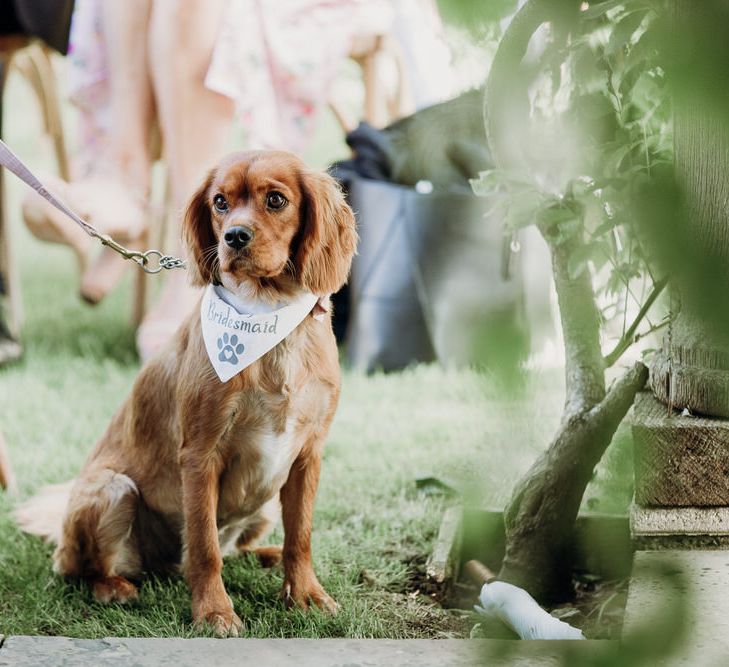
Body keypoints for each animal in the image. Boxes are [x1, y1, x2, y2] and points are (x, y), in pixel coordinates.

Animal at [15, 151, 356, 636]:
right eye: (220, 202)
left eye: (276, 199)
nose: (234, 236)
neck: (268, 315)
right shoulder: (200, 454)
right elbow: (205, 546)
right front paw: (214, 611)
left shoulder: (307, 455)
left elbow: (301, 535)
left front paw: (304, 593)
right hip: (114, 490)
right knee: (81, 569)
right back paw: (113, 587)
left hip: (266, 502)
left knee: (241, 547)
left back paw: (265, 555)